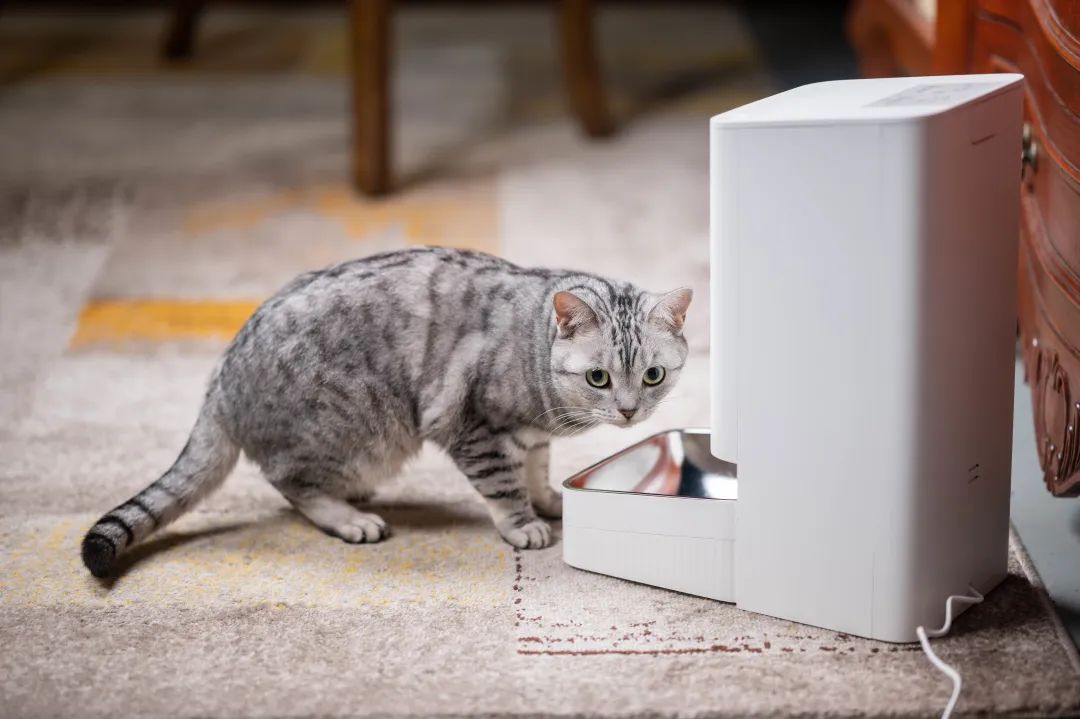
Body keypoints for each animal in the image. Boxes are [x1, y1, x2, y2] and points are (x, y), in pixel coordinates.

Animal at [82, 248, 691, 578]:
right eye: (598, 378)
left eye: (653, 376)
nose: (630, 412)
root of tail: (219, 381)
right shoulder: (475, 429)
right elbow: (504, 487)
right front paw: (524, 524)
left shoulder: (530, 436)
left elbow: (537, 470)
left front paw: (547, 500)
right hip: (354, 435)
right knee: (290, 484)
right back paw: (351, 518)